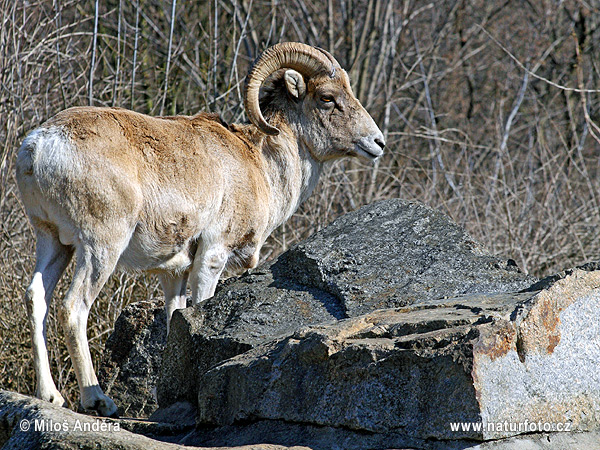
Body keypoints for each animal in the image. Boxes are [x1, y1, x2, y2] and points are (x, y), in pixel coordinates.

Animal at [17, 40, 384, 416]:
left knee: (37, 298)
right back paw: (98, 400)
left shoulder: (174, 274)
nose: (377, 143)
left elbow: (174, 323)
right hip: (100, 247)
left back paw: (50, 396)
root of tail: (39, 146)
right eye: (327, 97)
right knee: (74, 307)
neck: (260, 165)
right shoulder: (212, 257)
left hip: (53, 242)